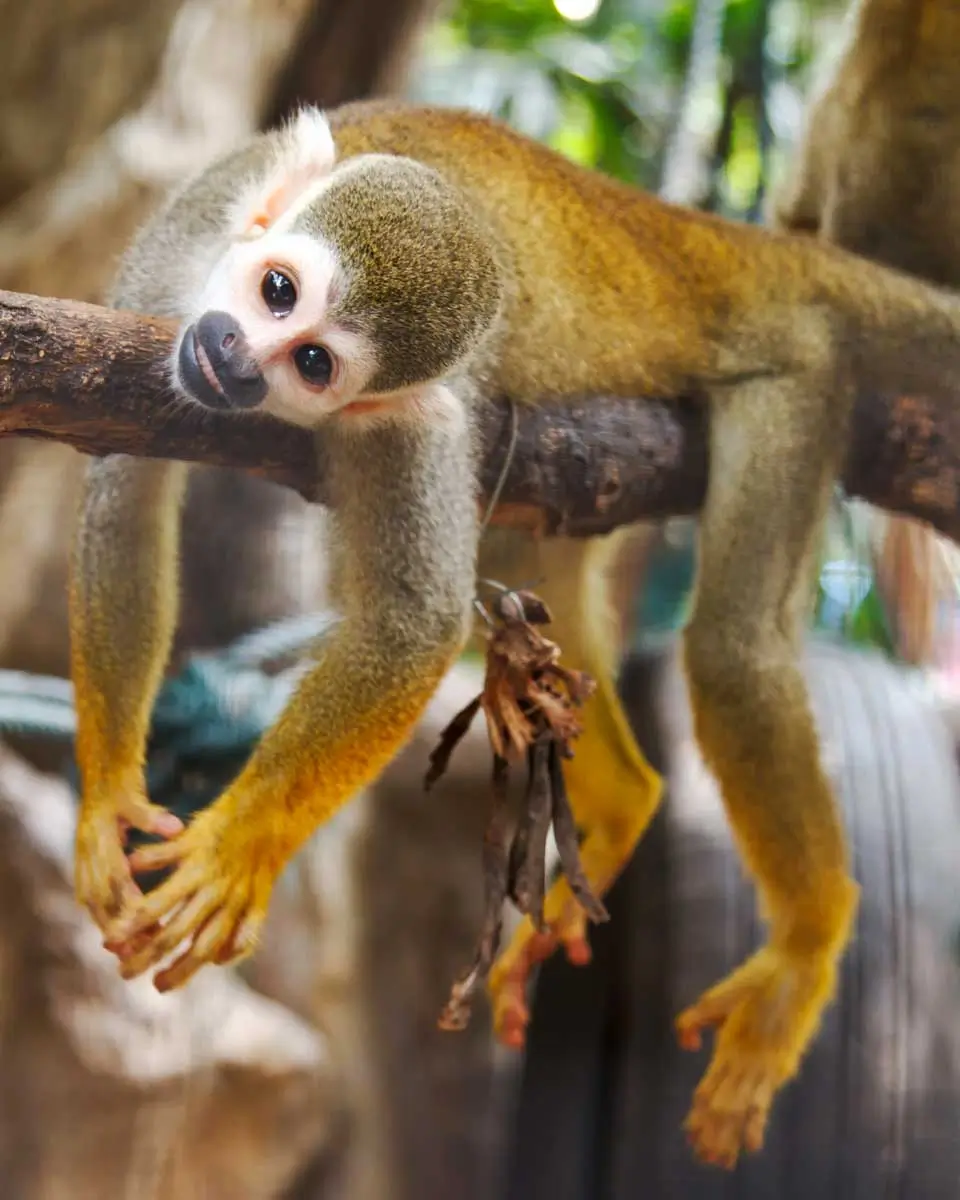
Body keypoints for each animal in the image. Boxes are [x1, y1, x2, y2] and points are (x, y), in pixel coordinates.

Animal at [67, 98, 960, 1167]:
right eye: (277, 292)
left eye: (315, 363)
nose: (236, 359)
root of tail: (706, 242)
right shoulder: (187, 237)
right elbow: (127, 491)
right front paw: (108, 803)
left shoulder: (416, 418)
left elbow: (413, 620)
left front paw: (241, 847)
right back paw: (625, 799)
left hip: (795, 374)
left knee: (735, 647)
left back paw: (806, 944)